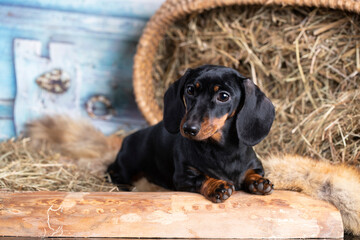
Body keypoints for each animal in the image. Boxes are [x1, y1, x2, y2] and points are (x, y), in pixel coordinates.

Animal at [107, 64, 276, 202]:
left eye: (223, 96)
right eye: (190, 90)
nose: (189, 129)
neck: (223, 151)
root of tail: (126, 139)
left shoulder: (256, 166)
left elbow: (252, 173)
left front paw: (259, 182)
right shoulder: (183, 176)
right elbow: (202, 178)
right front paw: (217, 185)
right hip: (125, 168)